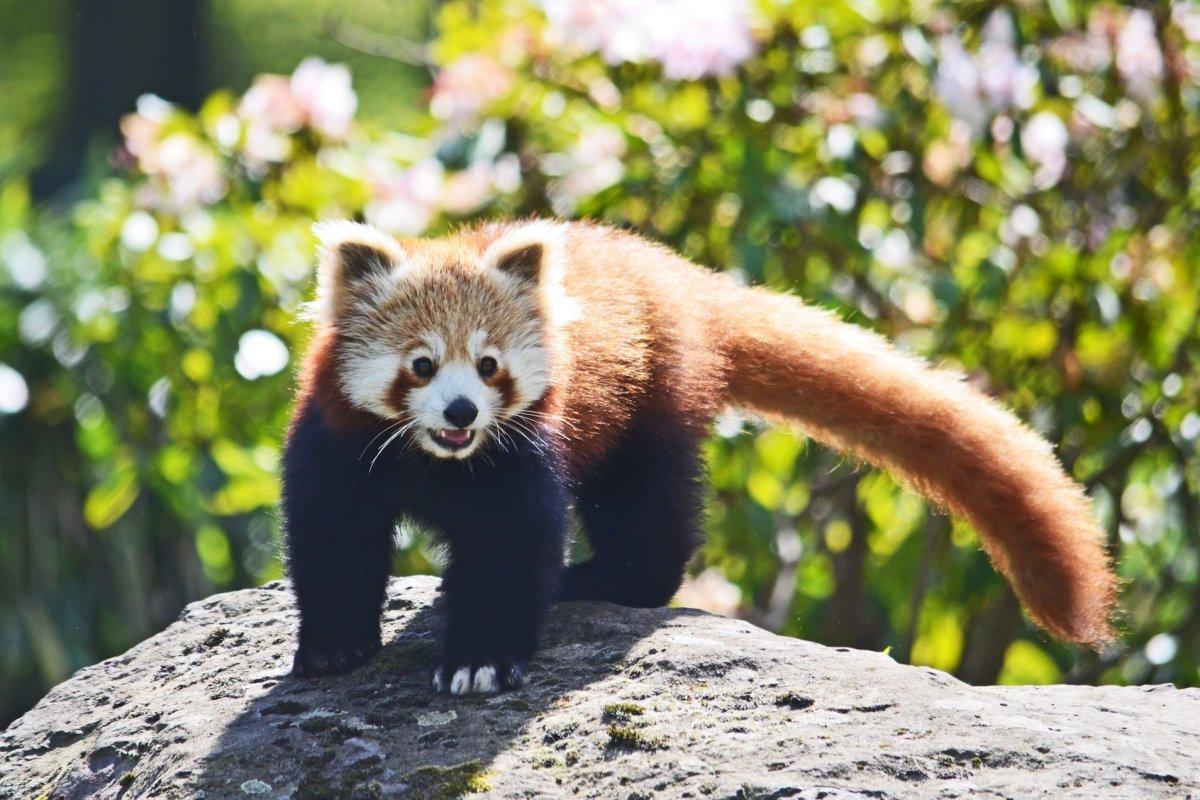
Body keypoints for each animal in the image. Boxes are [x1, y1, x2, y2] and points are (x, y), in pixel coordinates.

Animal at [280, 217, 1113, 695]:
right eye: (421, 366)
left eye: (488, 367)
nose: (462, 412)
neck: (436, 462)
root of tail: (679, 276)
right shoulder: (335, 448)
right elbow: (332, 542)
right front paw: (333, 648)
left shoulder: (521, 457)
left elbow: (510, 553)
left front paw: (478, 661)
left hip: (652, 399)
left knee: (647, 515)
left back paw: (604, 580)